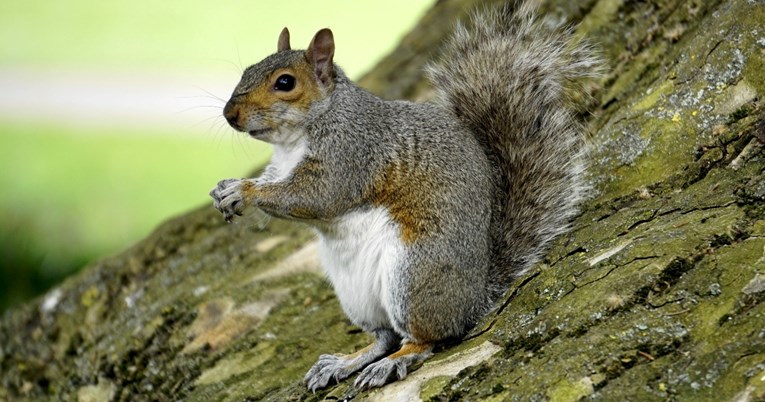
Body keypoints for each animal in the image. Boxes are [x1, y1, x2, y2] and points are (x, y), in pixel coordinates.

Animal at [210, 0, 604, 392]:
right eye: (248, 69)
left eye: (285, 83)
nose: (230, 114)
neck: (296, 138)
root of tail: (474, 298)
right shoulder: (282, 166)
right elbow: (276, 183)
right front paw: (226, 188)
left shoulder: (351, 155)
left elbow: (316, 197)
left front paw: (245, 191)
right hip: (357, 295)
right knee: (385, 337)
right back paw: (345, 362)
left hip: (414, 275)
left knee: (426, 338)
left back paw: (394, 362)